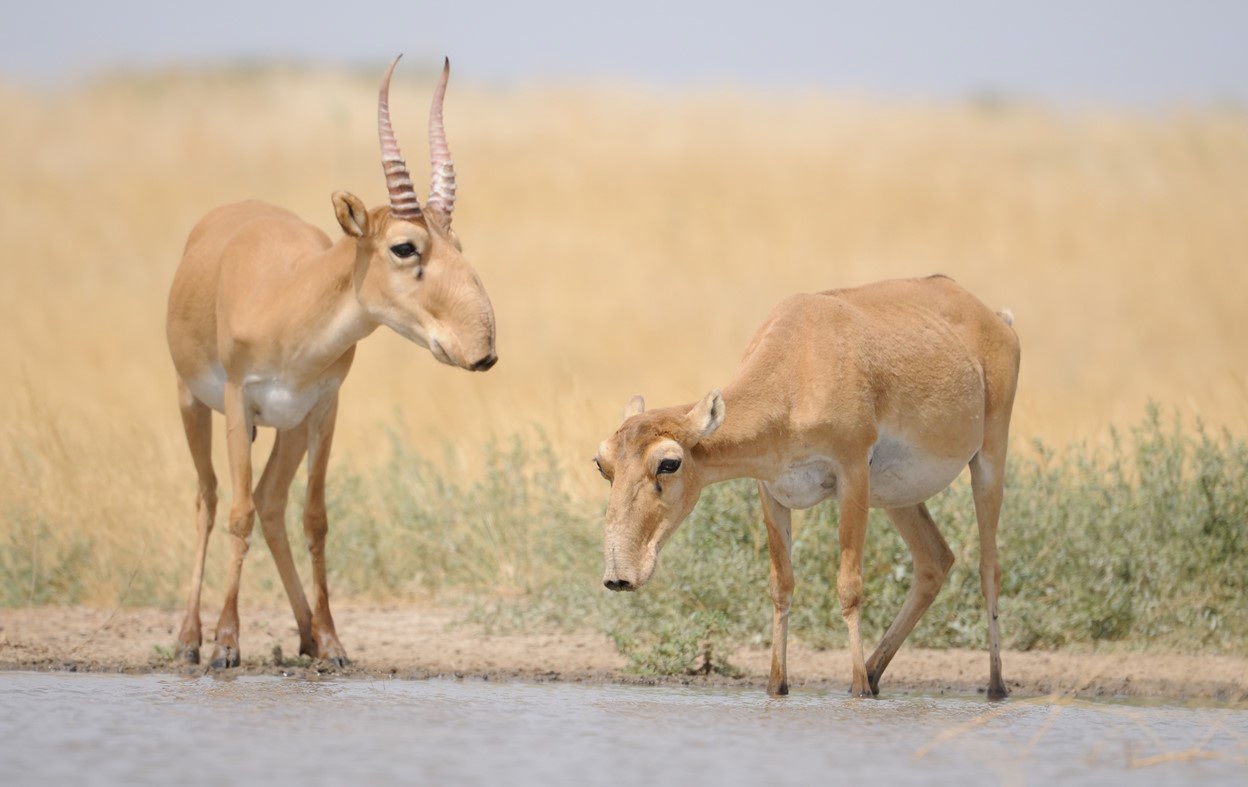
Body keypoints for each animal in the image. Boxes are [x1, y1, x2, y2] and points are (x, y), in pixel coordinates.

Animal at [167, 57, 496, 673]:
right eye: (404, 246)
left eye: (456, 243)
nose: (481, 348)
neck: (289, 298)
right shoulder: (236, 401)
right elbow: (237, 514)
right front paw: (227, 645)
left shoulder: (324, 407)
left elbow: (314, 517)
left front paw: (334, 643)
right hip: (191, 402)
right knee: (209, 499)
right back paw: (189, 639)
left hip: (289, 427)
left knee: (272, 502)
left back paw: (304, 635)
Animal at [596, 280, 1023, 698]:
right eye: (602, 463)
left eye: (669, 462)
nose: (619, 576)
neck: (797, 366)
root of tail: (997, 319)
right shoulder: (771, 490)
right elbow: (781, 585)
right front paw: (777, 686)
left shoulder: (852, 474)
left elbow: (849, 587)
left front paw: (857, 691)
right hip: (898, 497)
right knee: (935, 560)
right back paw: (874, 672)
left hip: (988, 462)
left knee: (990, 569)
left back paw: (994, 685)